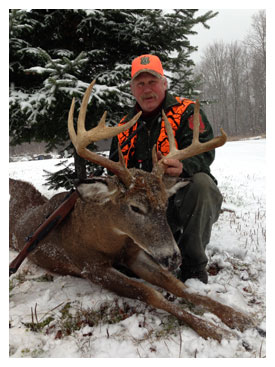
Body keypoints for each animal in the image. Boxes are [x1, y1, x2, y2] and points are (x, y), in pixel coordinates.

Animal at [9, 80, 258, 342]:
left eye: (165, 203)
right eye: (135, 207)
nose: (173, 257)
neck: (110, 239)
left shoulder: (135, 252)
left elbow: (180, 286)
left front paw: (240, 319)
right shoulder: (90, 266)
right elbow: (150, 294)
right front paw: (217, 331)